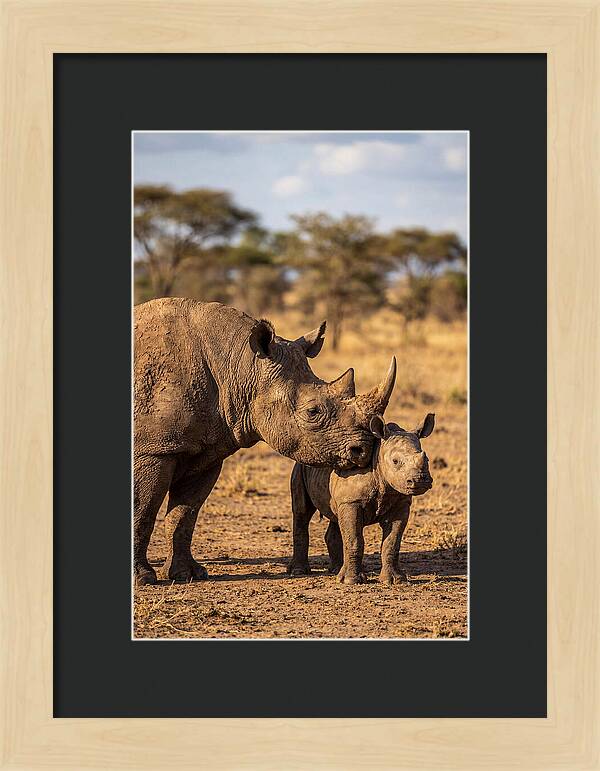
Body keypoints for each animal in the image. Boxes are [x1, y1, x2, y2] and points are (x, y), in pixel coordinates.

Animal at [134, 298, 396, 585]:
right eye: (312, 412)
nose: (364, 450)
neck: (240, 366)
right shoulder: (153, 450)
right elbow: (142, 509)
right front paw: (143, 579)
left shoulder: (207, 451)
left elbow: (184, 514)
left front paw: (187, 574)